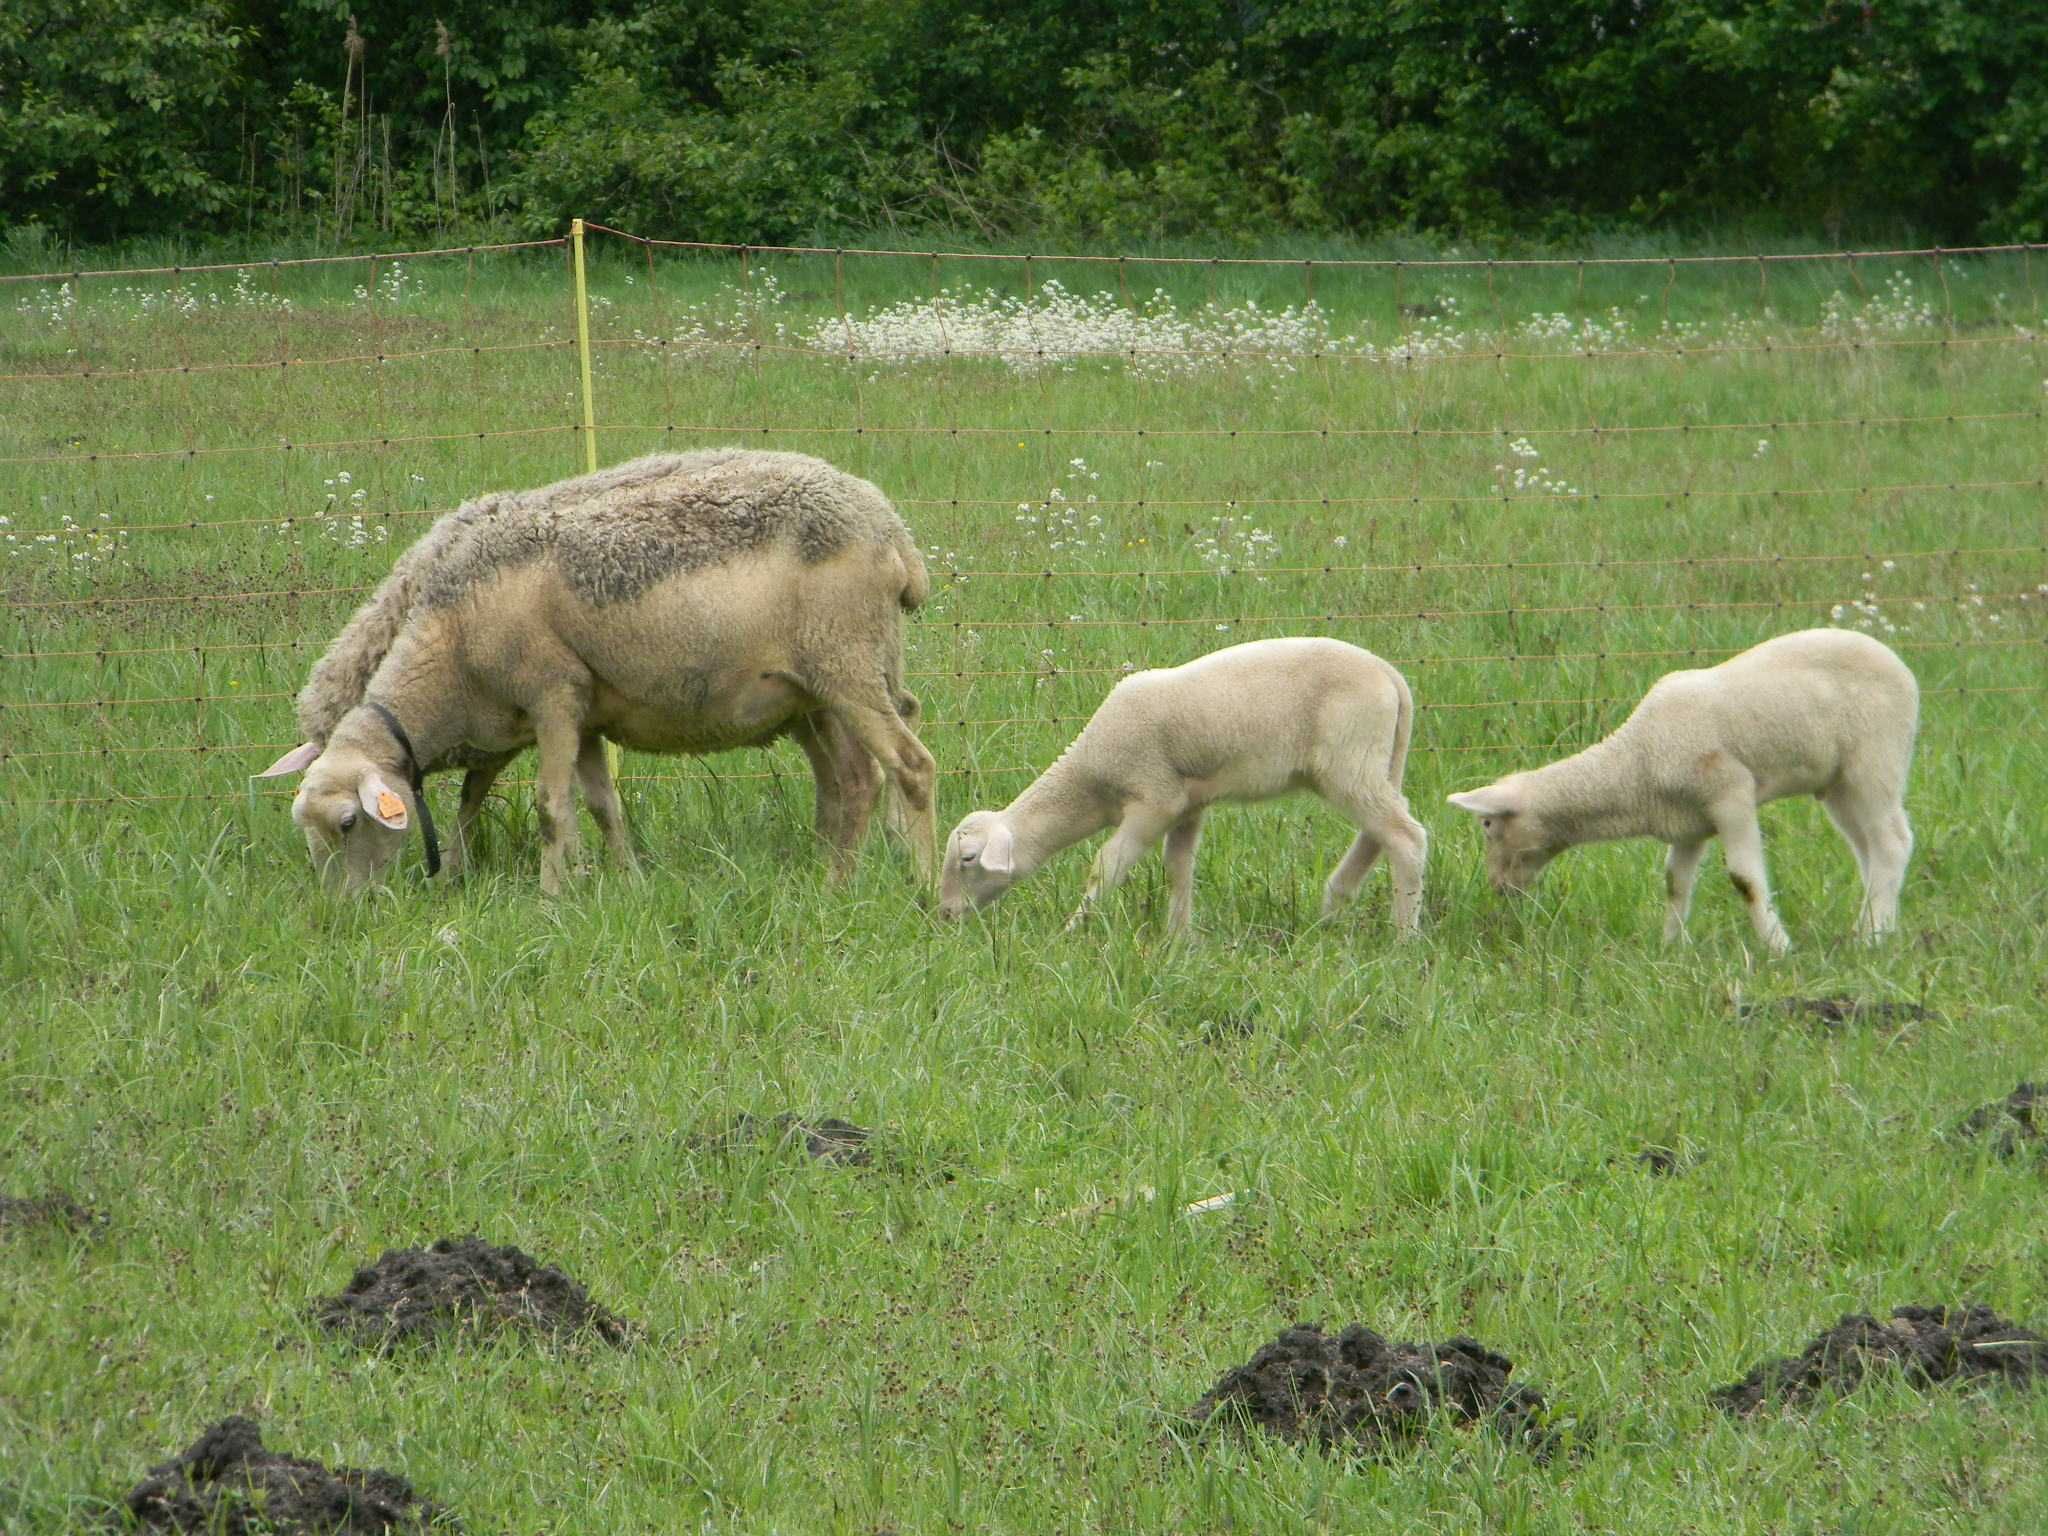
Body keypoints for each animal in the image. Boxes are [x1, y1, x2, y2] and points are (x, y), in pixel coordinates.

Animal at [251, 450, 937, 897]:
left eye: (347, 823)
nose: (345, 910)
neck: (451, 644)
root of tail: (892, 529)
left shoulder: (552, 697)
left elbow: (549, 807)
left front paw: (552, 897)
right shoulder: (583, 713)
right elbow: (603, 805)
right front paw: (625, 881)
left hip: (848, 665)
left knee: (909, 766)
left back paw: (920, 885)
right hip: (815, 691)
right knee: (851, 780)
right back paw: (834, 877)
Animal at [933, 638, 1425, 937]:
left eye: (967, 859)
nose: (945, 915)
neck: (1091, 778)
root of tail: (1391, 675)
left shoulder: (1154, 800)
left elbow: (1106, 865)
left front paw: (1073, 930)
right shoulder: (1189, 803)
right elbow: (1178, 867)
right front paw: (1178, 938)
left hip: (1349, 761)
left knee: (1405, 836)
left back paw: (1403, 935)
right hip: (1370, 764)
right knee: (1381, 831)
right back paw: (1332, 908)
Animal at [1449, 626, 1908, 950]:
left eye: (1487, 825)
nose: (1498, 888)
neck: (1635, 762)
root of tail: (1896, 661)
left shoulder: (1730, 793)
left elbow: (1745, 879)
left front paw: (1777, 947)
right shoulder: (1688, 822)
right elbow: (1675, 882)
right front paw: (1671, 946)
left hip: (1875, 760)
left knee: (1892, 842)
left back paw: (1873, 937)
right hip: (1838, 783)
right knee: (1868, 847)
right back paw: (1873, 924)